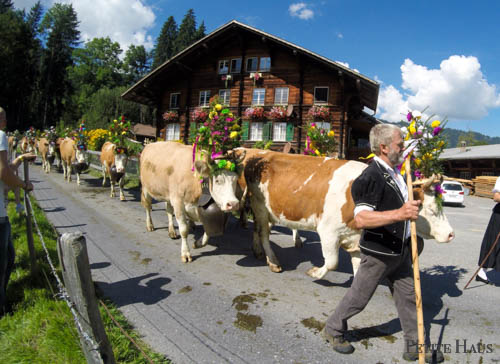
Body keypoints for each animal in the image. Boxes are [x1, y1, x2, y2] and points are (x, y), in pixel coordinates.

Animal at [241, 150, 454, 276]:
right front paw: (316, 273)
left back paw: (257, 251)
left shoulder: (354, 239)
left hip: (270, 210)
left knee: (258, 229)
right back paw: (273, 261)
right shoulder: (328, 231)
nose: (451, 234)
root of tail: (259, 154)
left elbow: (358, 268)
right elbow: (332, 262)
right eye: (432, 210)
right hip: (259, 206)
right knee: (263, 233)